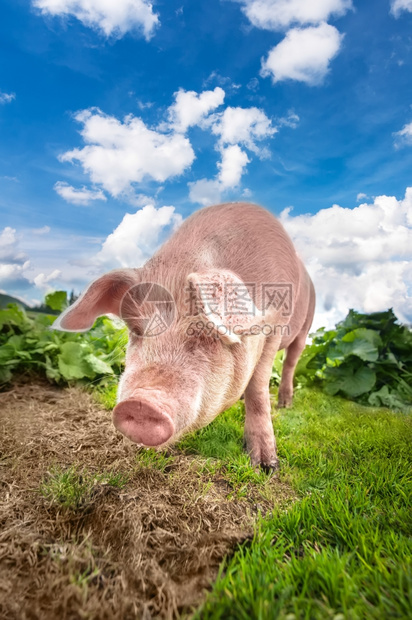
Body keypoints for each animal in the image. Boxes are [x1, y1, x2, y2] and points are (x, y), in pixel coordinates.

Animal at [52, 202, 316, 470]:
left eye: (205, 332)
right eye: (135, 329)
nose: (141, 403)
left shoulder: (276, 326)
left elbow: (258, 388)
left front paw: (265, 467)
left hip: (305, 328)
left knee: (290, 363)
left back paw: (285, 405)